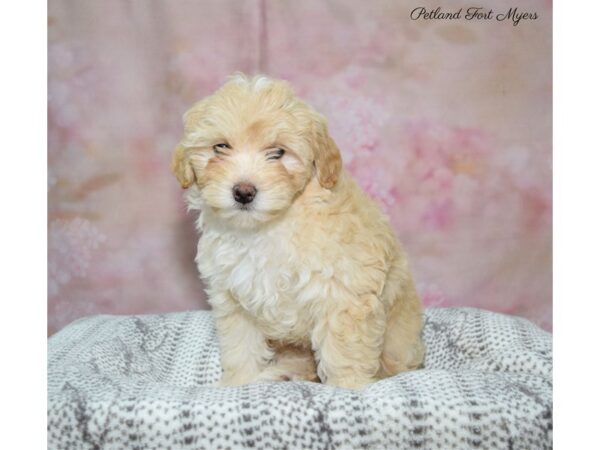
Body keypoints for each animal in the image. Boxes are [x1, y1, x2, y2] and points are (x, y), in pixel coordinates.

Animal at [172, 74, 426, 390]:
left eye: (278, 152)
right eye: (220, 147)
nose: (243, 192)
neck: (268, 228)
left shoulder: (343, 293)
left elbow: (345, 349)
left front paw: (348, 386)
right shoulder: (233, 297)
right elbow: (240, 345)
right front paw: (239, 382)